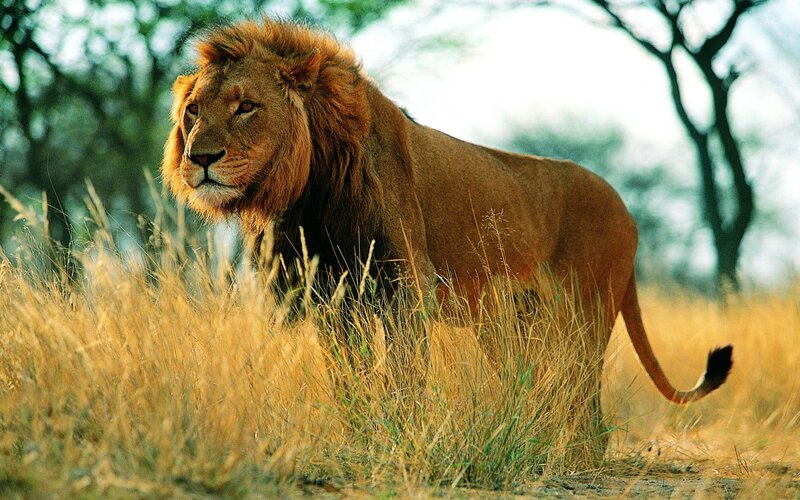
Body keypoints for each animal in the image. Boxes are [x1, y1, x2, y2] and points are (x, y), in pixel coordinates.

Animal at [162, 18, 733, 463]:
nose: (199, 158)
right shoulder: (330, 295)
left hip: (582, 314)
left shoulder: (405, 286)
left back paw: (573, 456)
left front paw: (401, 437)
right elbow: (349, 378)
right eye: (194, 110)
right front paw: (360, 438)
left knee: (580, 393)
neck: (310, 191)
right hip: (512, 323)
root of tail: (628, 210)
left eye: (246, 106)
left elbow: (405, 376)